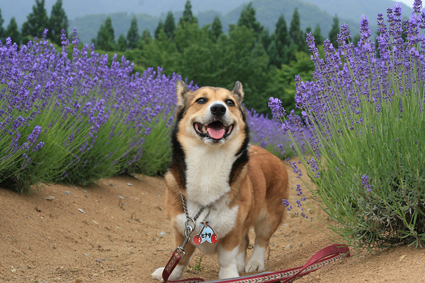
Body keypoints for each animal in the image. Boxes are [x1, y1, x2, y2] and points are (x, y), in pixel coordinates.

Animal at [150, 81, 288, 280]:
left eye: (229, 102)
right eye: (201, 100)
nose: (218, 109)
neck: (209, 160)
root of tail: (271, 154)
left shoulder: (233, 229)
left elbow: (226, 258)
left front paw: (229, 276)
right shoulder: (182, 229)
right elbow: (181, 255)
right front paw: (169, 274)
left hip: (270, 216)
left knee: (261, 240)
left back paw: (255, 264)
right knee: (245, 240)